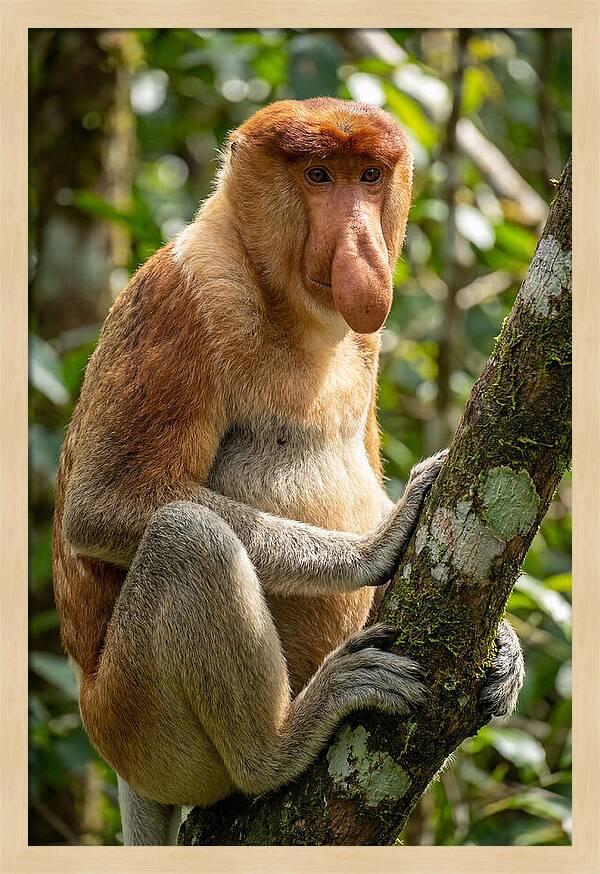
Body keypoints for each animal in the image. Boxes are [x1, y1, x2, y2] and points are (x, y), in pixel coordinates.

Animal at [51, 98, 524, 846]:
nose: (361, 247)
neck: (291, 307)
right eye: (318, 176)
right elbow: (103, 504)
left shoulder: (368, 339)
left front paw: (507, 648)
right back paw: (280, 744)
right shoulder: (184, 299)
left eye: (368, 176)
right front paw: (377, 545)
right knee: (188, 538)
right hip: (136, 725)